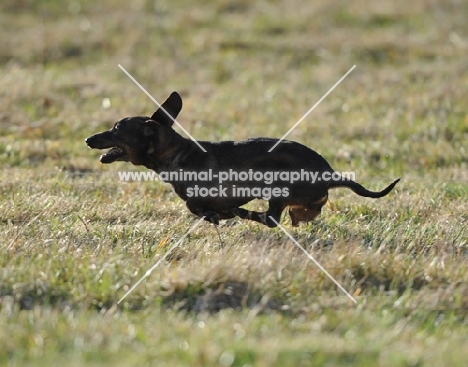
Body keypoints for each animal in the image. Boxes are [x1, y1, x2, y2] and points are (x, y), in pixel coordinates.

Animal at [86, 92, 400, 227]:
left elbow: (194, 206)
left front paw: (218, 214)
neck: (177, 153)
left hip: (279, 186)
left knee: (271, 219)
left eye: (116, 129)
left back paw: (245, 213)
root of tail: (330, 174)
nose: (88, 139)